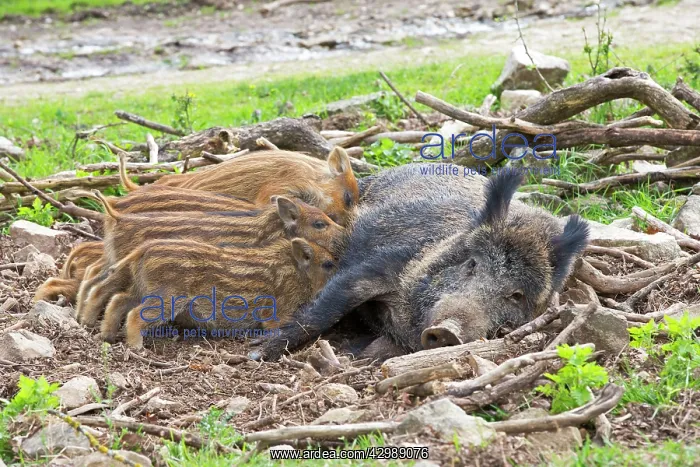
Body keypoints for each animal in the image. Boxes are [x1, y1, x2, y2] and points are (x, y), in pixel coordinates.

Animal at [250, 164, 589, 361]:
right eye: (472, 264)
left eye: (516, 295)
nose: (448, 330)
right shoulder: (383, 262)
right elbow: (326, 309)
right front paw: (256, 354)